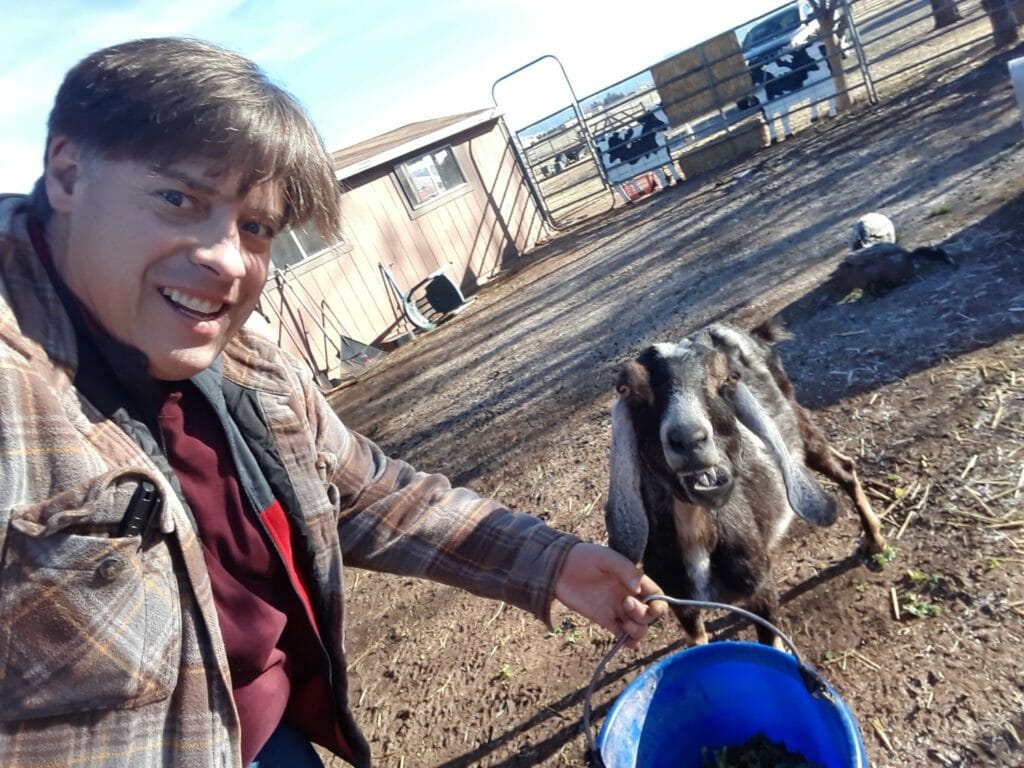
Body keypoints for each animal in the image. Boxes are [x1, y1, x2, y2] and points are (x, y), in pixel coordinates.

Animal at [602, 321, 884, 647]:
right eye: (628, 389)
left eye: (728, 379)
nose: (688, 438)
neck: (696, 529)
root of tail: (754, 336)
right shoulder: (681, 604)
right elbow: (697, 642)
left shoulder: (761, 587)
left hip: (800, 429)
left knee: (845, 470)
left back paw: (875, 540)